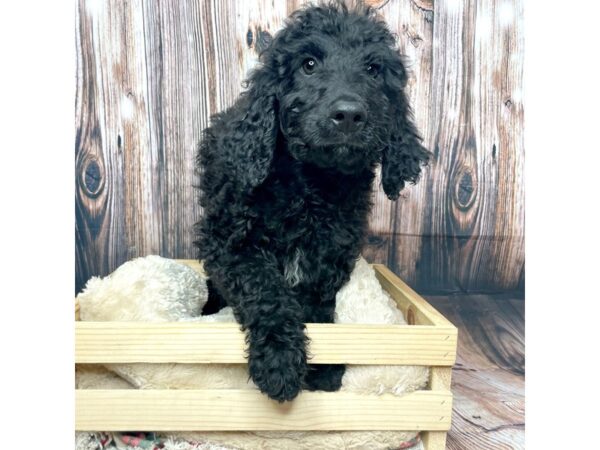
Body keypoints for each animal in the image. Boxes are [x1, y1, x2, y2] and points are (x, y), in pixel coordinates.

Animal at [195, 1, 428, 402]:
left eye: (373, 69)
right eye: (308, 64)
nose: (348, 114)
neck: (310, 187)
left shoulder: (329, 256)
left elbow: (319, 308)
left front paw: (326, 371)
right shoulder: (232, 246)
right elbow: (267, 292)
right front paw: (280, 362)